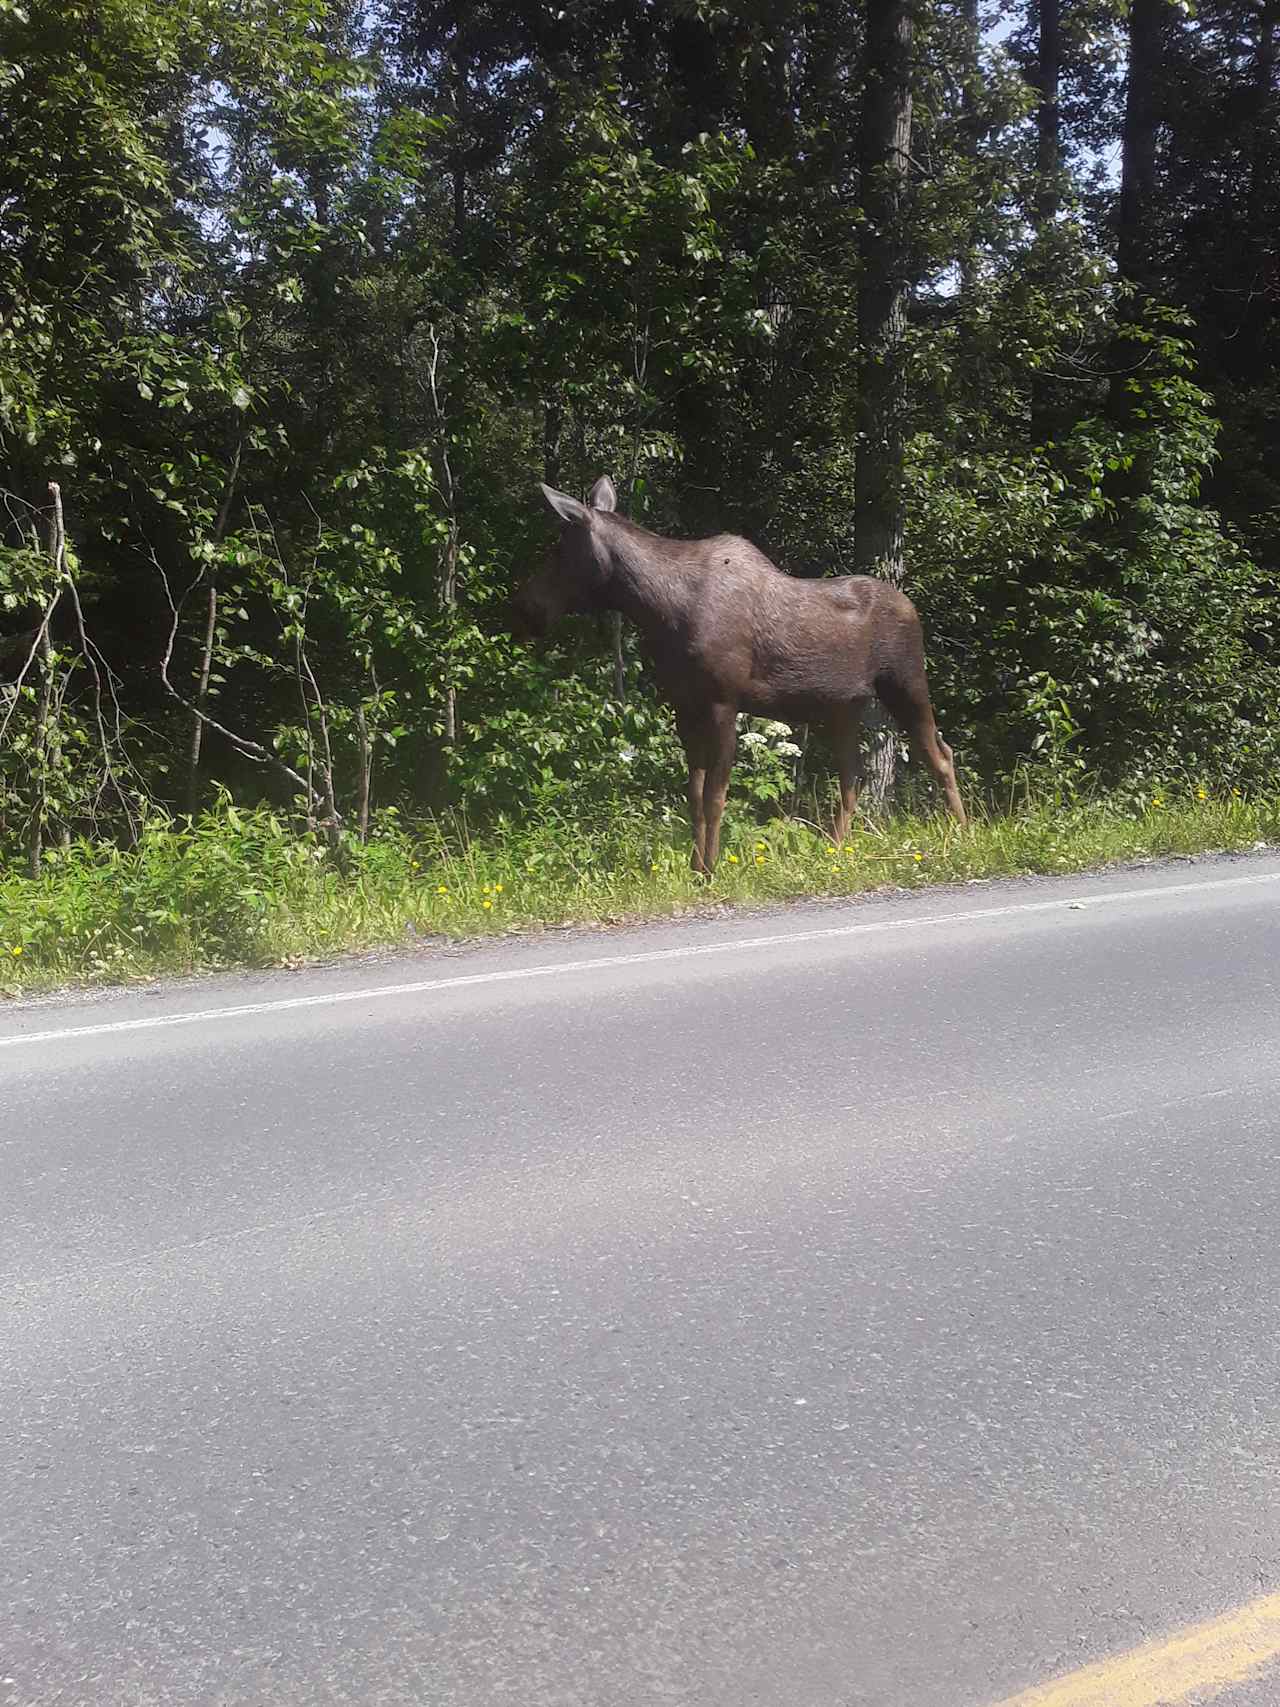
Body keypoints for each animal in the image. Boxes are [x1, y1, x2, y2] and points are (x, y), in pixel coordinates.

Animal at [508, 481, 962, 880]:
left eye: (558, 549)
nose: (525, 608)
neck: (659, 611)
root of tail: (911, 606)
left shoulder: (723, 703)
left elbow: (715, 797)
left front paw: (711, 869)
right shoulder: (685, 706)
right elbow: (693, 796)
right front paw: (695, 866)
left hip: (905, 682)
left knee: (940, 752)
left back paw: (963, 830)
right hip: (843, 706)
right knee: (851, 777)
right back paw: (835, 850)